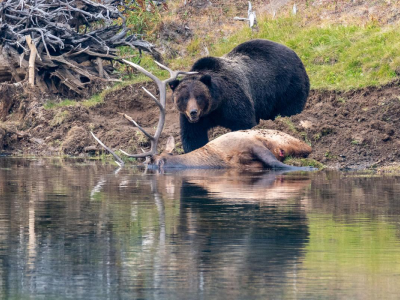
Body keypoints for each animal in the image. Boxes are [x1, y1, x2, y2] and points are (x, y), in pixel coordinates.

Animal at [169, 38, 310, 152]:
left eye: (199, 96)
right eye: (183, 98)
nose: (193, 112)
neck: (216, 106)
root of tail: (292, 51)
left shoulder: (233, 102)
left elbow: (243, 123)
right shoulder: (192, 119)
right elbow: (193, 136)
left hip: (287, 85)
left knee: (290, 106)